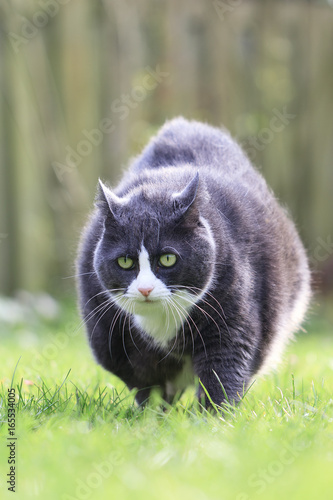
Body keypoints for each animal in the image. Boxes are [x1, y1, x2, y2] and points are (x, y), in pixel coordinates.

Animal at [76, 118, 310, 410]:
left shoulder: (231, 318)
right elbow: (146, 383)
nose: (144, 289)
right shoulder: (116, 341)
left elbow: (223, 370)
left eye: (168, 258)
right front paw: (152, 415)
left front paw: (215, 415)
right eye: (125, 261)